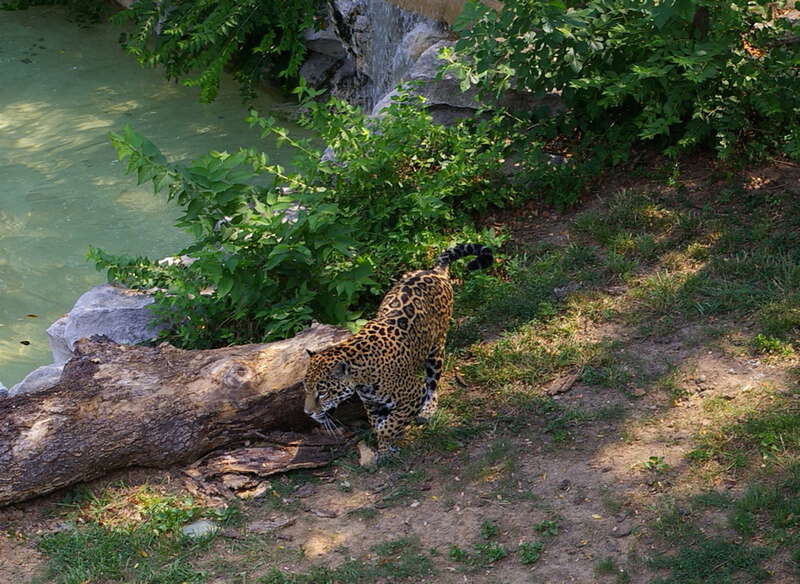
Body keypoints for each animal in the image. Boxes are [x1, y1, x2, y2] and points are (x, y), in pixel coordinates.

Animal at [303, 243, 493, 457]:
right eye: (306, 389)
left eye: (322, 393)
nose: (308, 413)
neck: (360, 375)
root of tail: (434, 271)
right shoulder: (371, 403)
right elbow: (378, 424)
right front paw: (385, 449)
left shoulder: (412, 393)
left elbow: (388, 426)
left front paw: (388, 444)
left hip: (436, 348)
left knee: (432, 382)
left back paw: (427, 410)